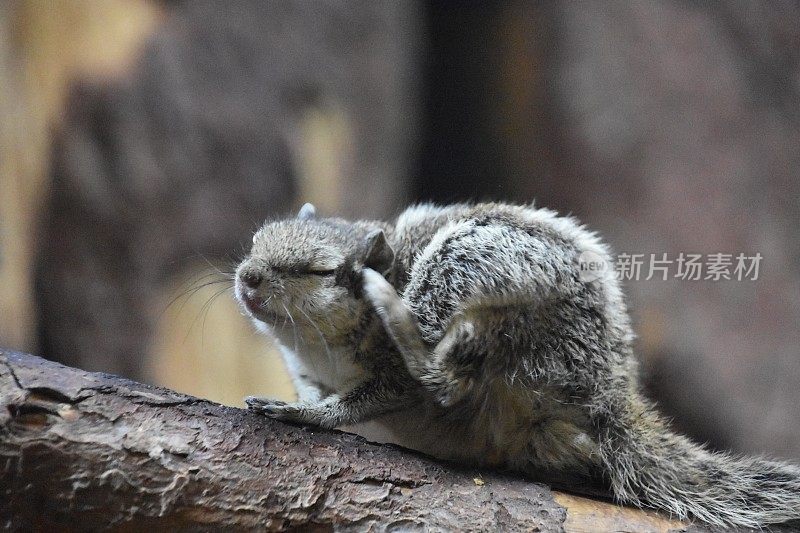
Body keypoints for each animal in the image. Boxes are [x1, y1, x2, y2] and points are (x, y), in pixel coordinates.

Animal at [233, 201, 800, 528]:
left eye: (320, 271)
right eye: (256, 240)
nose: (248, 276)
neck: (318, 347)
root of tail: (611, 390)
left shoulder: (390, 378)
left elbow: (372, 397)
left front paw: (314, 415)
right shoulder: (305, 368)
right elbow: (314, 389)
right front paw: (307, 403)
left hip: (489, 280)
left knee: (445, 377)